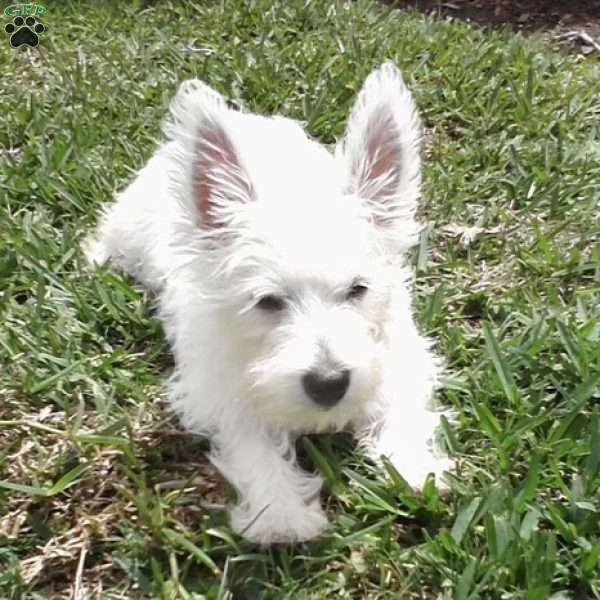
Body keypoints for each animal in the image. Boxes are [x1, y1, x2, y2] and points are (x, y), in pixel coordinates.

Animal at [84, 62, 454, 544]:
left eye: (358, 289)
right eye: (268, 301)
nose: (329, 383)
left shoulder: (396, 351)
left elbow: (398, 402)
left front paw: (414, 468)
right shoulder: (217, 385)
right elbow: (250, 440)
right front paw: (280, 514)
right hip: (130, 225)